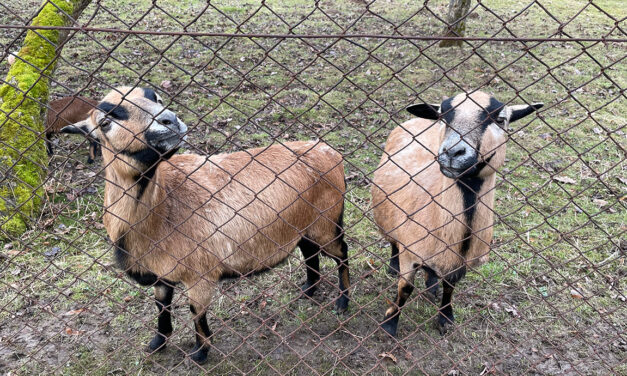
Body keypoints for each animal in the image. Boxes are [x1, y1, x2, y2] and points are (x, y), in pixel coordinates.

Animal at [61, 86, 350, 364]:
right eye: (105, 122)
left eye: (156, 97)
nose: (169, 120)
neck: (161, 210)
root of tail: (329, 152)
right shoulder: (162, 273)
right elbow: (161, 306)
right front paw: (157, 343)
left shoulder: (200, 273)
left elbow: (196, 312)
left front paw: (200, 353)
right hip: (305, 226)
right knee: (309, 252)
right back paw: (309, 290)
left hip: (326, 221)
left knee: (341, 253)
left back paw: (343, 302)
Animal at [370, 91, 544, 338]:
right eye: (443, 116)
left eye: (500, 119)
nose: (452, 152)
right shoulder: (410, 253)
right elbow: (405, 289)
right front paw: (390, 324)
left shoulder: (459, 263)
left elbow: (449, 287)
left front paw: (445, 319)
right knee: (393, 241)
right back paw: (393, 267)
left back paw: (432, 283)